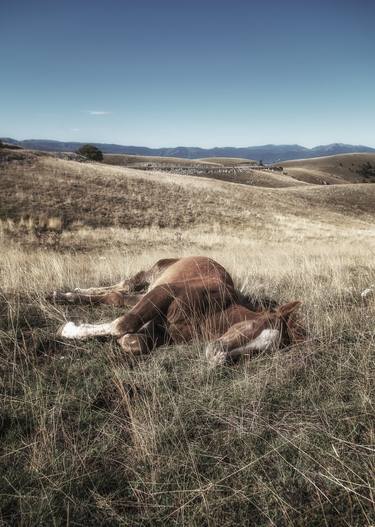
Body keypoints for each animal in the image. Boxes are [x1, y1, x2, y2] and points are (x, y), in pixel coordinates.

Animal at [52, 256, 302, 368]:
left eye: (260, 352)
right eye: (253, 327)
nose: (217, 358)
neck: (214, 310)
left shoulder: (162, 329)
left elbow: (137, 341)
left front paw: (126, 341)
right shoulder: (164, 292)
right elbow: (122, 324)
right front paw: (68, 329)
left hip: (142, 294)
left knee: (118, 295)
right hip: (153, 276)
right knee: (124, 286)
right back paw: (64, 295)